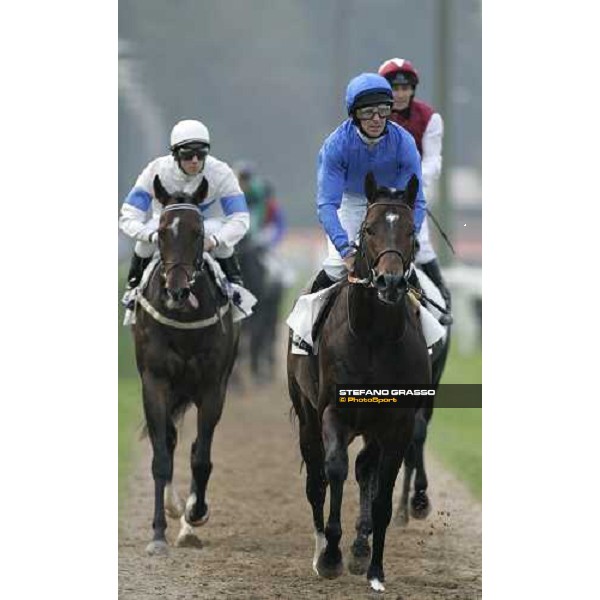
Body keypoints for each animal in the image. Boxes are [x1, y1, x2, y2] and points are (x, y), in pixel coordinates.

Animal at [134, 176, 241, 556]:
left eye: (198, 232)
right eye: (163, 232)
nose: (177, 292)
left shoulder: (212, 388)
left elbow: (201, 457)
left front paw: (195, 514)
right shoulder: (154, 382)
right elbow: (161, 457)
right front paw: (158, 534)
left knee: (194, 448)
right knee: (168, 441)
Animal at [288, 171, 432, 592]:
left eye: (411, 231)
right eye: (369, 229)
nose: (389, 282)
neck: (373, 338)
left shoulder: (397, 424)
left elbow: (381, 493)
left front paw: (375, 568)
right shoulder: (334, 412)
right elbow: (333, 470)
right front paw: (330, 555)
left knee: (366, 467)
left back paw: (359, 547)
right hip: (307, 416)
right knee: (316, 476)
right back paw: (322, 547)